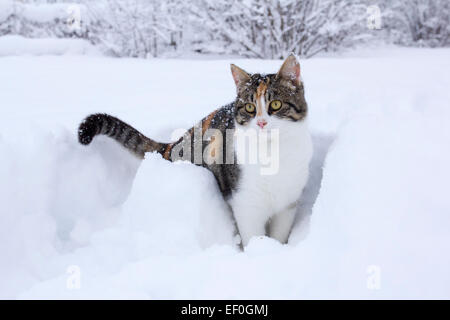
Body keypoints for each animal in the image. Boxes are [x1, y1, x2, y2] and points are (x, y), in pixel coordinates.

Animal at [79, 53, 312, 246]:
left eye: (275, 105)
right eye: (249, 108)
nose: (262, 123)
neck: (273, 152)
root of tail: (173, 144)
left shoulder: (288, 203)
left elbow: (280, 234)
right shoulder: (246, 201)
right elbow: (253, 234)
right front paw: (259, 251)